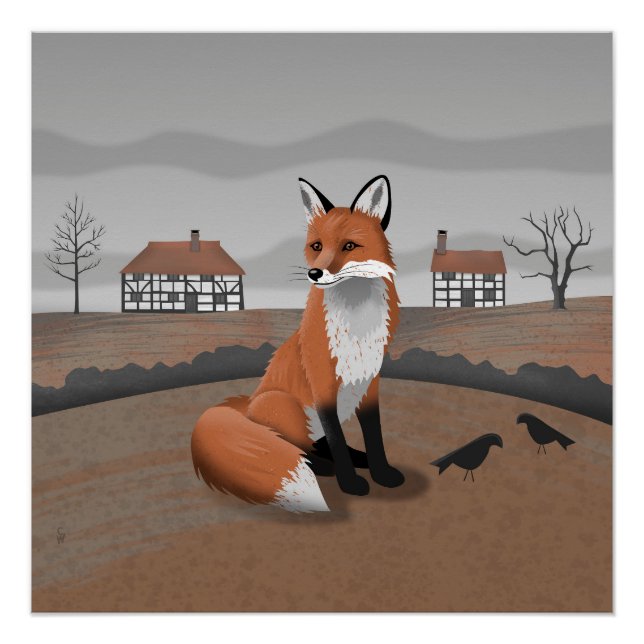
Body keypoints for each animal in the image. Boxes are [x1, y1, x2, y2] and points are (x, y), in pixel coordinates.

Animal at [191, 175, 404, 512]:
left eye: (349, 246)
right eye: (317, 246)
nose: (315, 273)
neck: (357, 327)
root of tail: (247, 405)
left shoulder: (370, 382)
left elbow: (374, 437)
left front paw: (381, 471)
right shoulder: (322, 384)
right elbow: (337, 440)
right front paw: (350, 483)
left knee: (318, 444)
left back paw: (356, 459)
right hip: (287, 407)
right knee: (297, 446)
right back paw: (325, 467)